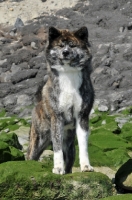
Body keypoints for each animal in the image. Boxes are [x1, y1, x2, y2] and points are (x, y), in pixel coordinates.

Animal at [27, 26, 95, 173]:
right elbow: (57, 148)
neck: (68, 74)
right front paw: (58, 168)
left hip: (69, 148)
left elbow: (83, 146)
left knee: (69, 162)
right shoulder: (57, 118)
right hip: (38, 139)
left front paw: (86, 166)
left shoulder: (82, 117)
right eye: (60, 45)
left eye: (72, 45)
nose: (65, 52)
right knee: (30, 156)